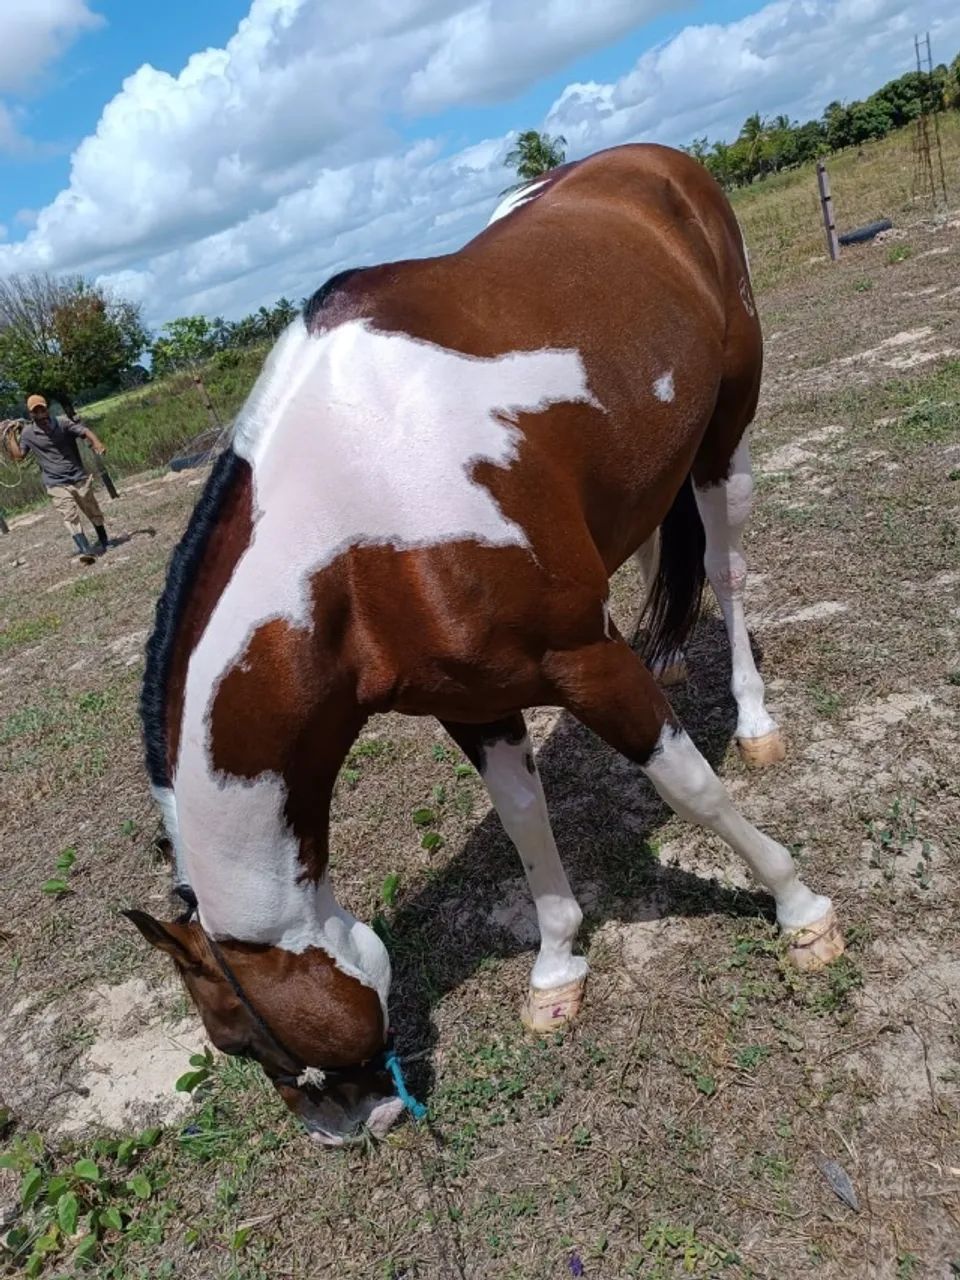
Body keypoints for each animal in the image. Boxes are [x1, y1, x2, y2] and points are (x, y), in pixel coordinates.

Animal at [128, 143, 844, 1146]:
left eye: (240, 1037)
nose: (351, 1130)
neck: (356, 514)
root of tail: (655, 164)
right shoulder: (472, 701)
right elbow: (522, 820)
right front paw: (557, 969)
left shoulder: (585, 660)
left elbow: (690, 787)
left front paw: (798, 907)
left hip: (722, 433)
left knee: (727, 568)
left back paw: (754, 721)